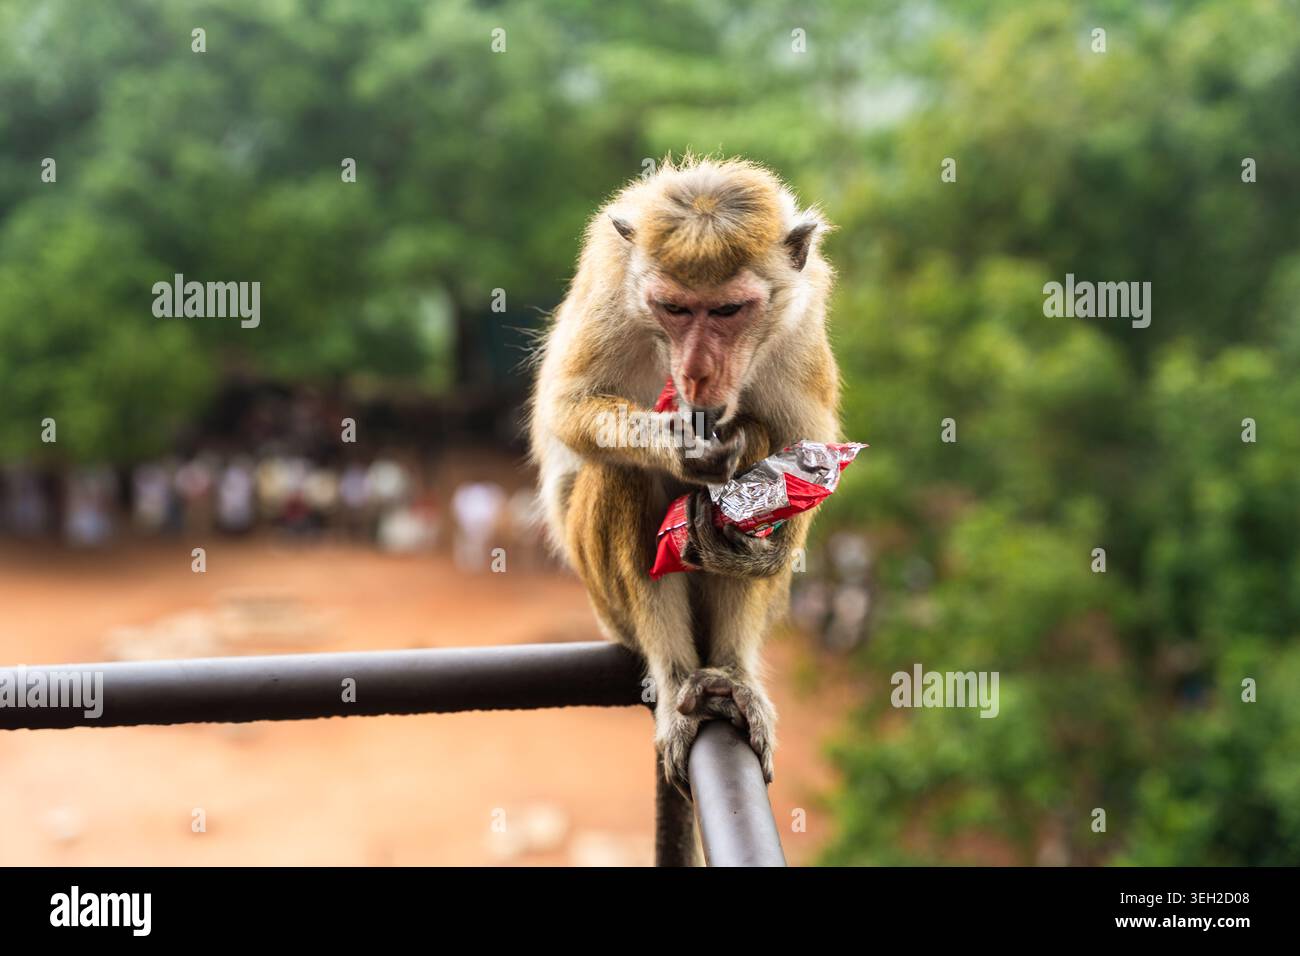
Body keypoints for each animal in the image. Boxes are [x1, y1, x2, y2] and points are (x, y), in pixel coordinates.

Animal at [528, 155, 840, 807]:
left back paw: (732, 670)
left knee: (757, 440)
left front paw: (763, 544)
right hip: (604, 602)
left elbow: (806, 442)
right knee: (622, 471)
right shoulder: (610, 289)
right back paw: (676, 681)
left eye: (726, 311)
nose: (696, 372)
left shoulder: (800, 325)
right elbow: (566, 409)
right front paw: (674, 445)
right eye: (674, 309)